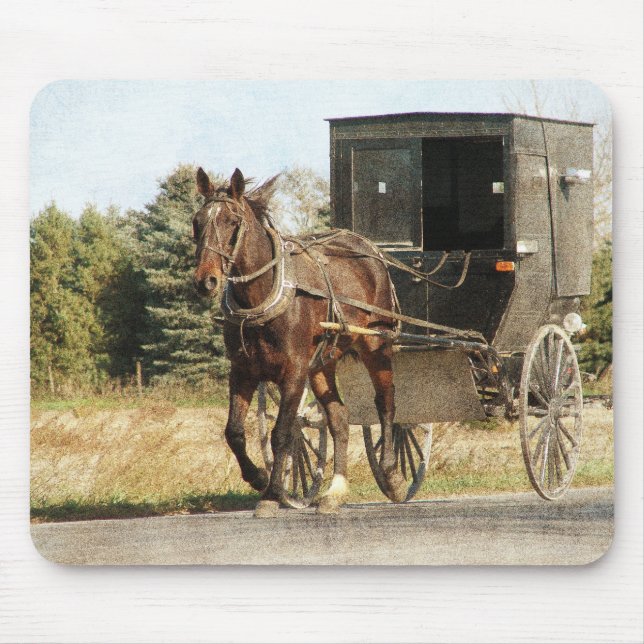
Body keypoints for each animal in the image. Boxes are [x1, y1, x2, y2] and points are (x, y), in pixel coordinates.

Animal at [192, 167, 405, 514]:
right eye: (197, 222)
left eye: (232, 221)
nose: (205, 280)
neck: (264, 295)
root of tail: (370, 250)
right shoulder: (242, 371)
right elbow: (234, 432)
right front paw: (258, 477)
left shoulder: (293, 371)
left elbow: (282, 433)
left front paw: (271, 494)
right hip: (321, 363)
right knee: (339, 418)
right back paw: (335, 491)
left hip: (376, 344)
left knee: (385, 401)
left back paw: (391, 474)